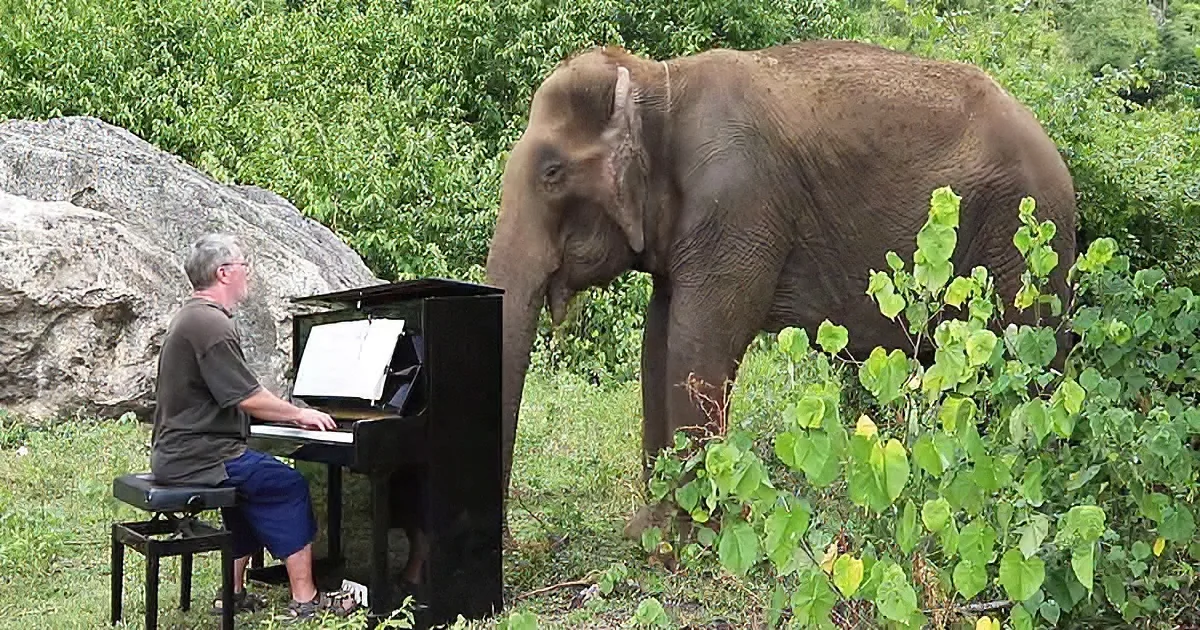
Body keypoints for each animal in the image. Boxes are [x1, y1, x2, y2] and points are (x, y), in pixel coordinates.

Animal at [484, 39, 1076, 539]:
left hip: (1020, 237)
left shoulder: (738, 206)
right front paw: (648, 533)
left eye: (552, 173)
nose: (512, 542)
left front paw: (688, 542)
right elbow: (658, 343)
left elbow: (699, 347)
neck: (659, 80)